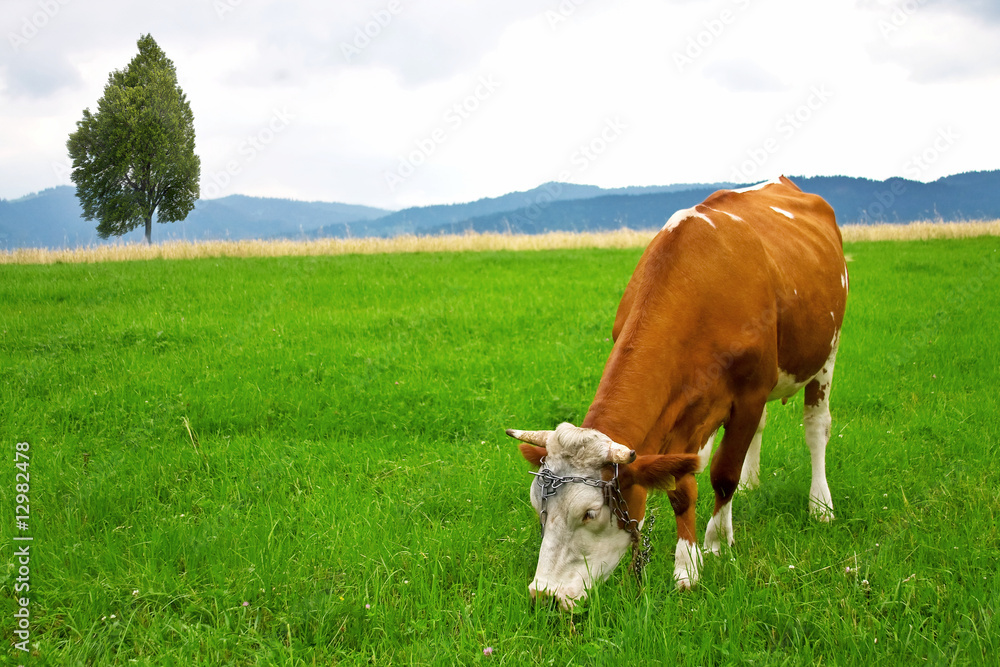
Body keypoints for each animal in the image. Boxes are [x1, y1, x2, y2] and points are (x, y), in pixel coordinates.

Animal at [508, 177, 852, 612]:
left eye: (589, 513)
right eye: (538, 505)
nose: (545, 596)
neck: (701, 287)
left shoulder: (749, 395)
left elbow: (723, 474)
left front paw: (713, 546)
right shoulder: (680, 411)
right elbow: (682, 486)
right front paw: (689, 562)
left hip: (827, 355)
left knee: (816, 428)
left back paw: (820, 505)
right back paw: (753, 484)